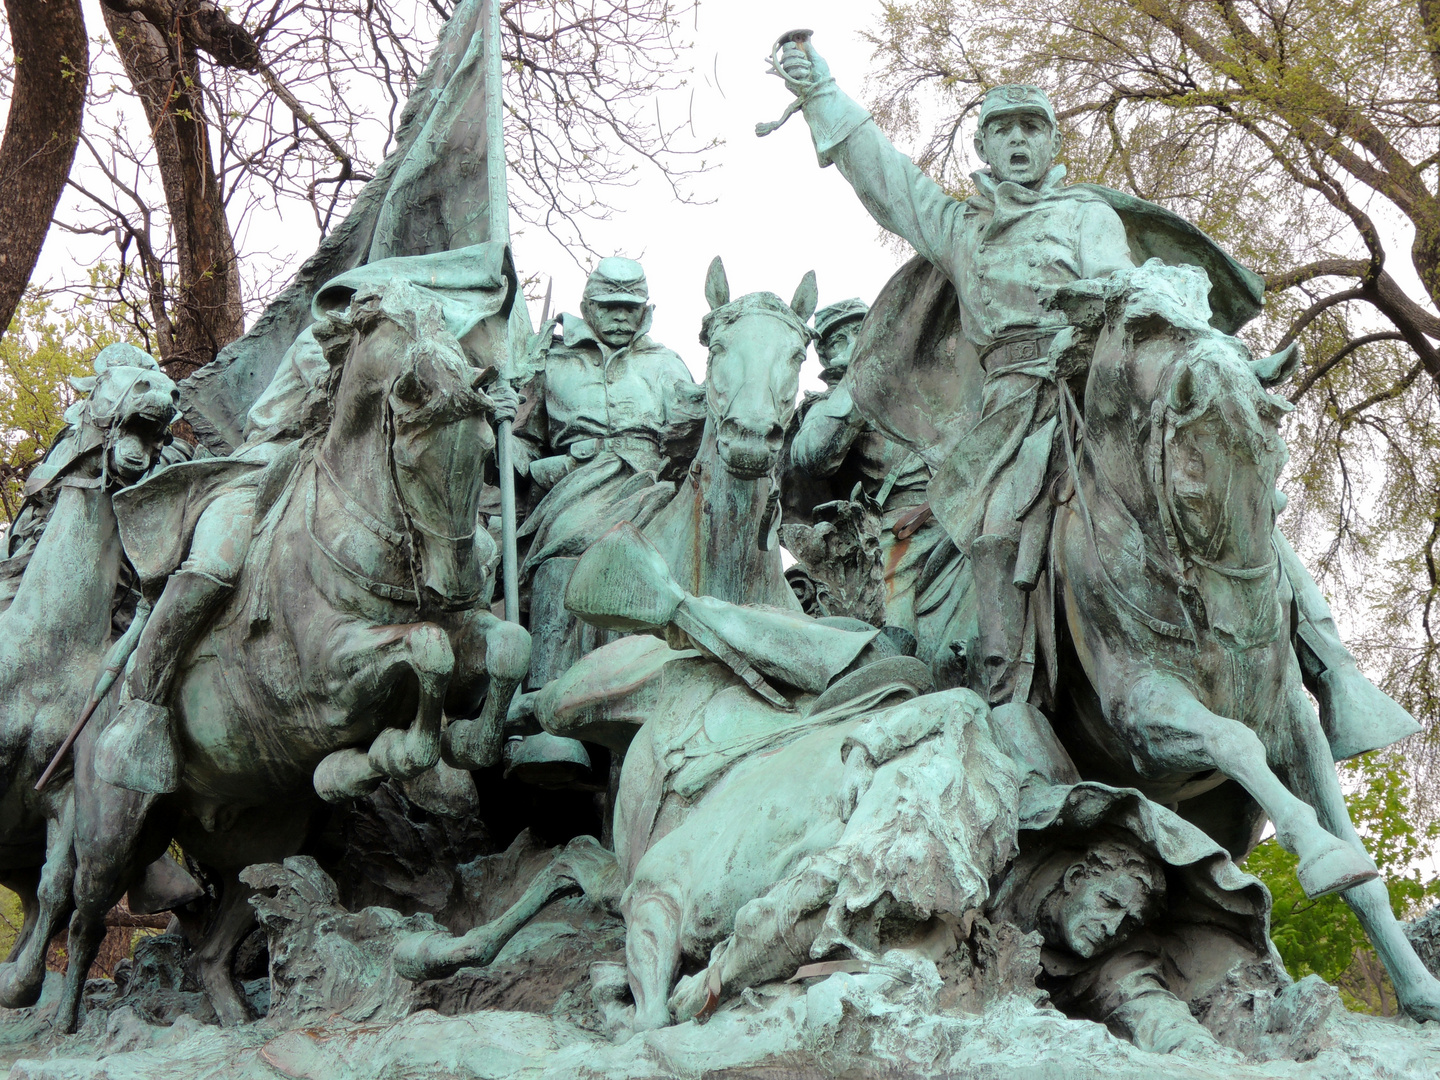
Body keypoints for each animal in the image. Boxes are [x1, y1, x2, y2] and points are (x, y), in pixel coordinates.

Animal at [57, 275, 529, 1036]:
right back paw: (66, 1023)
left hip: (261, 844)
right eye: (415, 458)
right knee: (83, 915)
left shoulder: (460, 637)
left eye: (487, 447)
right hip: (115, 829)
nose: (461, 579)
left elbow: (507, 645)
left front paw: (466, 745)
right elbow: (425, 654)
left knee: (212, 948)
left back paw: (238, 1021)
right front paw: (396, 758)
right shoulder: (323, 682)